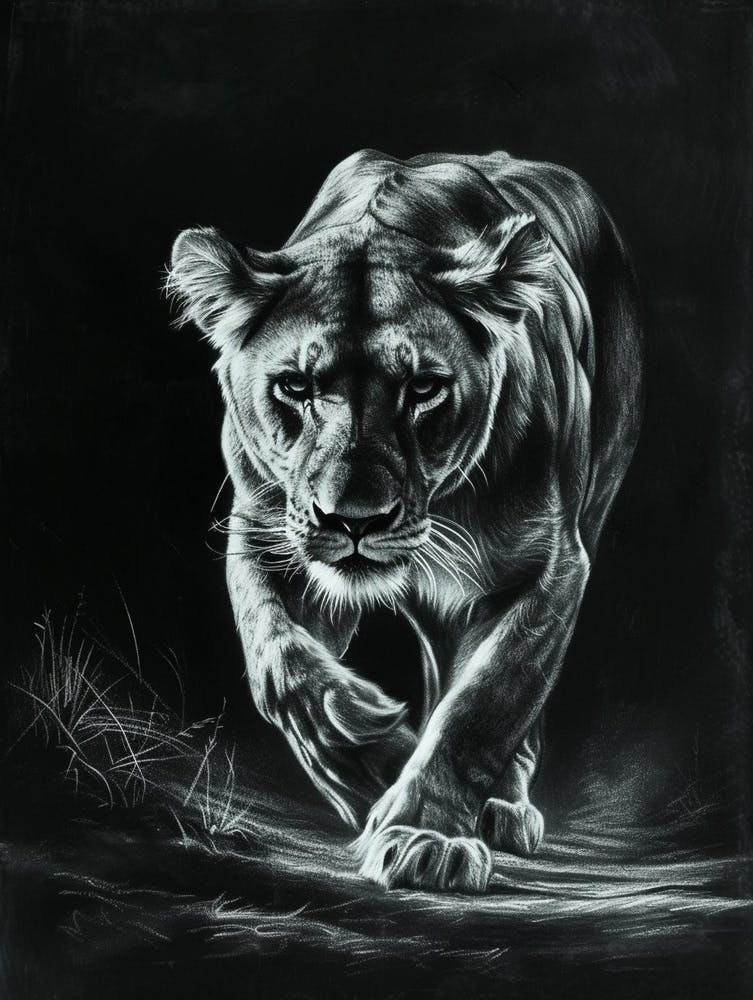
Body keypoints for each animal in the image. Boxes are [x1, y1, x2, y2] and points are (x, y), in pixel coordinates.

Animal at [168, 149, 643, 893]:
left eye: (422, 388)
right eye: (295, 387)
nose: (354, 520)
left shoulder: (547, 567)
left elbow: (486, 704)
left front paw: (425, 834)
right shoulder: (266, 539)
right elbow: (279, 662)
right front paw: (371, 756)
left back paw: (502, 808)